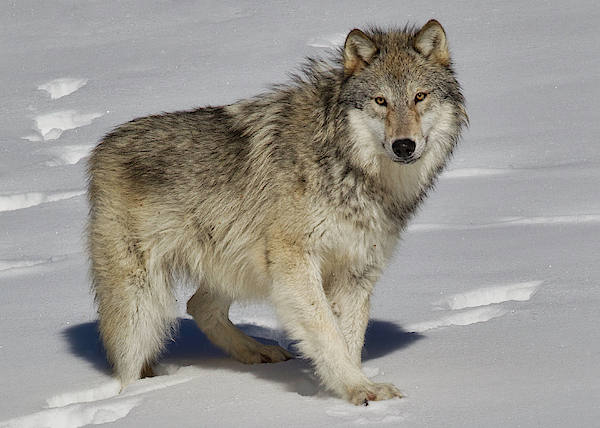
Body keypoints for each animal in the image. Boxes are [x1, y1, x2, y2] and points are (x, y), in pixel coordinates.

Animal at [86, 19, 466, 404]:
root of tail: (102, 145)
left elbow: (350, 338)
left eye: (420, 96)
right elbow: (329, 334)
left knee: (199, 307)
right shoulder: (295, 262)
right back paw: (138, 398)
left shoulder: (358, 270)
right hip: (141, 299)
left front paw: (354, 388)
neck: (349, 167)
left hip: (235, 262)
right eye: (380, 101)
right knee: (132, 365)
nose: (404, 145)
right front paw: (360, 390)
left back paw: (258, 351)